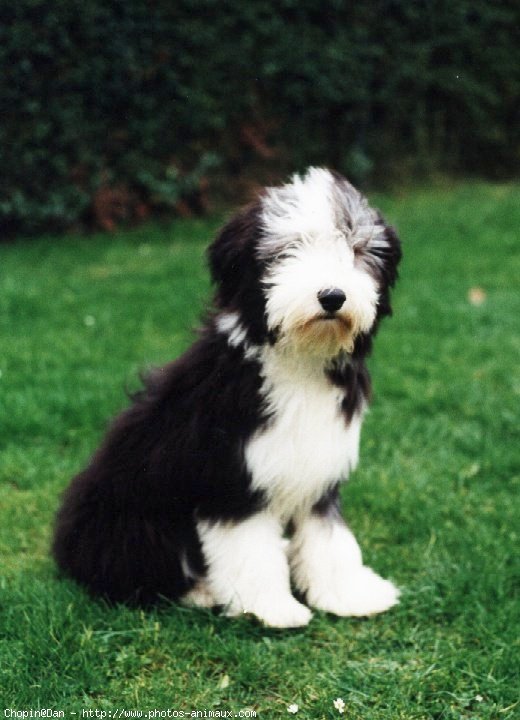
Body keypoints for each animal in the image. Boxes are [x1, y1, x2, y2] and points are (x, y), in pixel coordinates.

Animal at [52, 167, 402, 624]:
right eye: (288, 250)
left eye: (357, 250)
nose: (332, 296)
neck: (297, 362)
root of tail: (65, 547)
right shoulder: (230, 477)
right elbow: (250, 551)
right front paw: (272, 608)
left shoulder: (319, 470)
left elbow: (329, 538)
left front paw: (348, 594)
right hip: (135, 521)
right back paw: (203, 592)